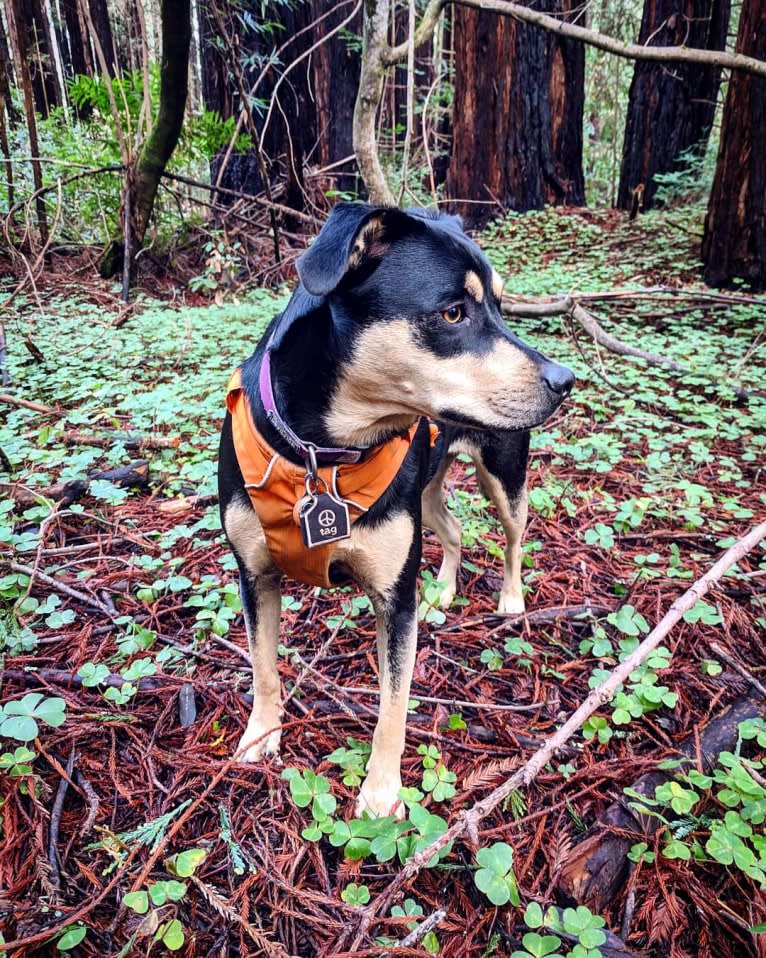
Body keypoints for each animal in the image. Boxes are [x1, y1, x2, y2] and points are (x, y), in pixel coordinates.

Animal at [219, 202, 572, 816]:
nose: (565, 380)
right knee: (453, 530)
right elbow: (263, 667)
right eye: (454, 312)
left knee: (512, 537)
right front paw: (260, 735)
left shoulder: (393, 599)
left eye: (501, 306)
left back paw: (509, 598)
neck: (322, 452)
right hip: (424, 496)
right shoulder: (255, 576)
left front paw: (382, 792)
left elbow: (393, 704)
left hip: (504, 475)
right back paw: (445, 590)